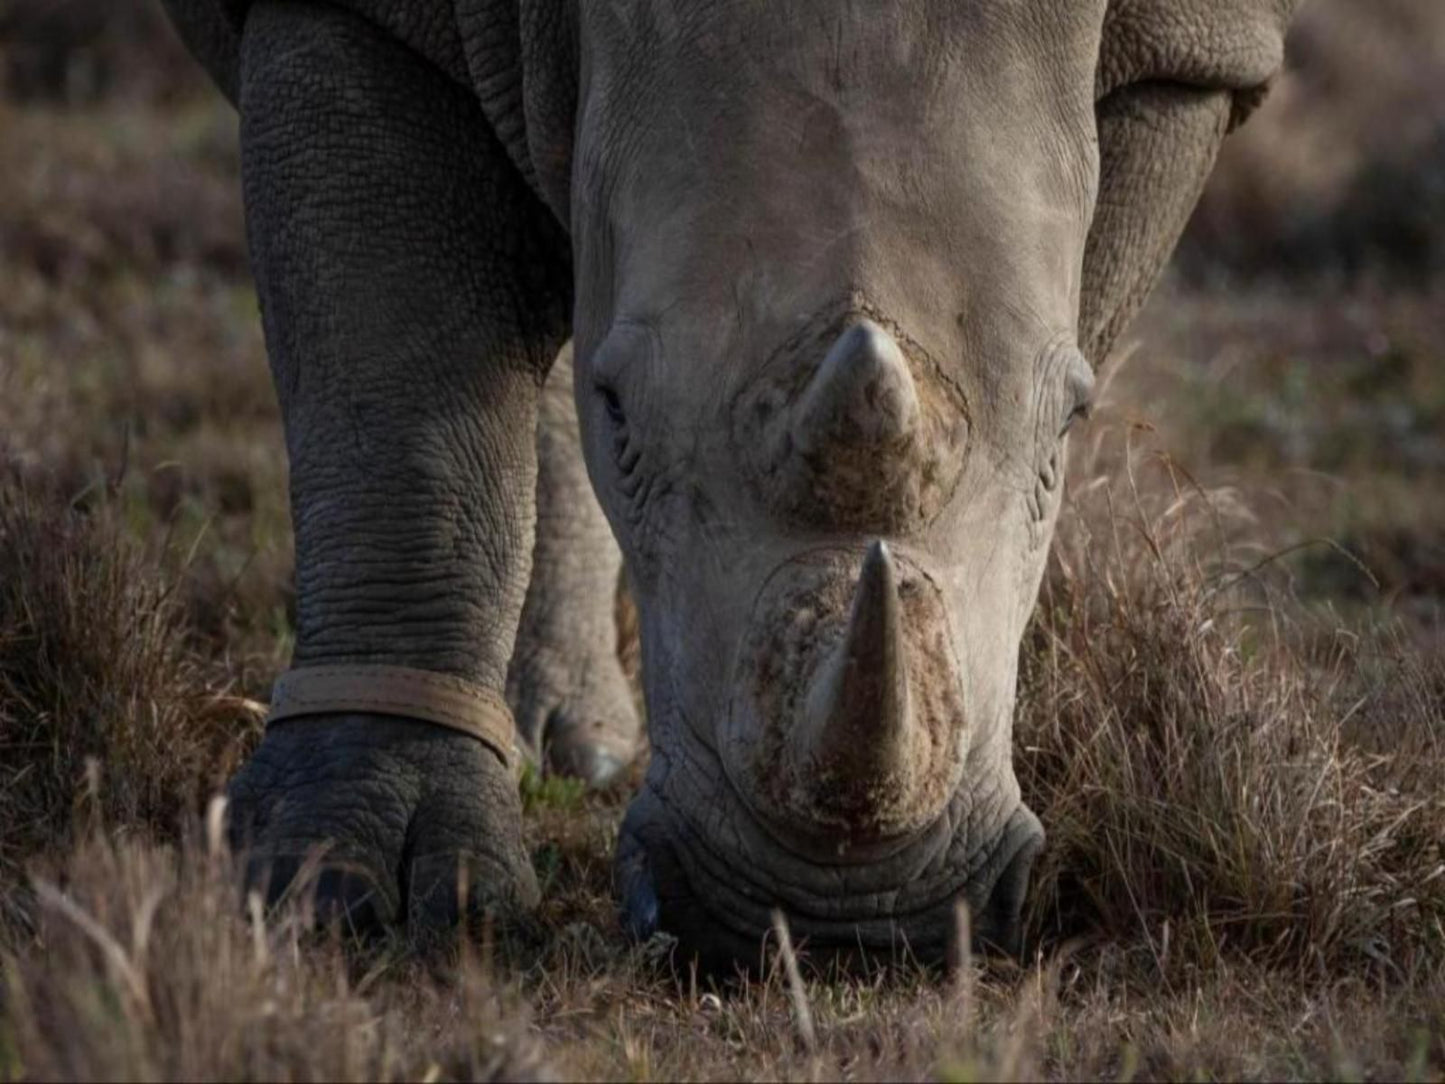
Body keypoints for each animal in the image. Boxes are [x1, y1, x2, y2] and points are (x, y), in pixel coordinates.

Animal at [164, 0, 1306, 965]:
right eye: (621, 417)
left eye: (1069, 429)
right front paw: (341, 892)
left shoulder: (1190, 54)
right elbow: (401, 427)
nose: (842, 921)